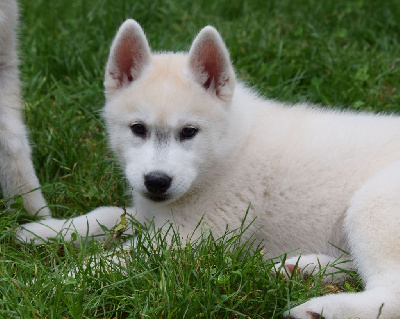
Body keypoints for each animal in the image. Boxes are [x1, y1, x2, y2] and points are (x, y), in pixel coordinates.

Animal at [17, 18, 400, 319]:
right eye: (138, 129)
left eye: (189, 132)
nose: (157, 182)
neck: (227, 151)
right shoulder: (153, 214)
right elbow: (107, 214)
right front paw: (46, 230)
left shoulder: (183, 239)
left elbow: (105, 263)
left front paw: (43, 284)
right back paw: (300, 269)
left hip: (372, 205)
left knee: (389, 296)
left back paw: (322, 308)